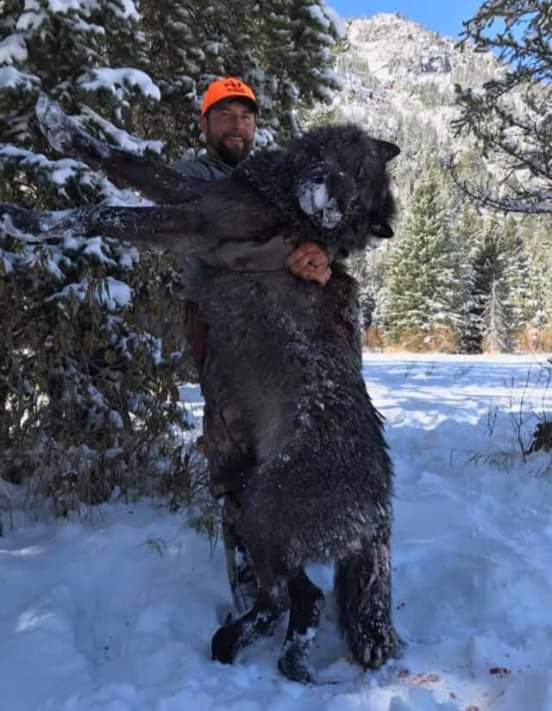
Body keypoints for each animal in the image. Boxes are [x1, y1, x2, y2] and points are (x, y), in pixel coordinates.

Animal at [2, 107, 401, 682]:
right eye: (353, 166)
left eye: (360, 194)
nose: (332, 202)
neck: (285, 212)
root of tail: (376, 513)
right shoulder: (197, 196)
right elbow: (125, 162)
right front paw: (60, 124)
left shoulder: (195, 221)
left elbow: (102, 210)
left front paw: (21, 218)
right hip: (265, 524)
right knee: (301, 603)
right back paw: (269, 655)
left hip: (262, 517)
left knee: (291, 601)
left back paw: (233, 644)